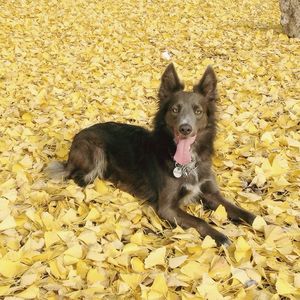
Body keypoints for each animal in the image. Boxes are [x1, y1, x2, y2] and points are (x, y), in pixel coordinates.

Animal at [47, 63, 255, 246]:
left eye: (198, 111)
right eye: (175, 109)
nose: (185, 129)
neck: (187, 164)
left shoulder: (211, 193)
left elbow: (241, 211)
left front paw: (260, 222)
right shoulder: (167, 207)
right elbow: (200, 221)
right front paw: (220, 237)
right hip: (95, 152)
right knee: (79, 177)